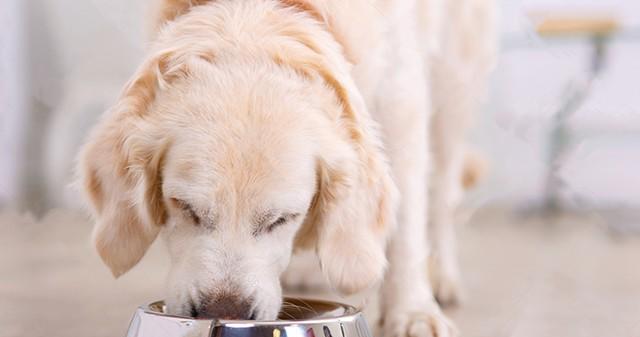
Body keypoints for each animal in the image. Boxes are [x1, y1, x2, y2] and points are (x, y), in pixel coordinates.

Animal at [76, 1, 496, 334]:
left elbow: (407, 223)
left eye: (282, 219)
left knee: (442, 193)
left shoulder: (401, 98)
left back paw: (441, 275)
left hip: (455, 82)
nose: (223, 311)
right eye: (185, 208)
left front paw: (412, 311)